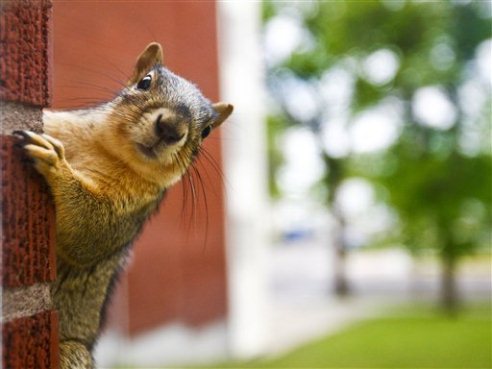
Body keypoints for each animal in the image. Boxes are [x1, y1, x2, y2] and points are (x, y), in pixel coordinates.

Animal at [13, 41, 233, 366]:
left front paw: (55, 163)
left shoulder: (131, 208)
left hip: (72, 352)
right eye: (145, 82)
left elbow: (88, 232)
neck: (108, 151)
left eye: (206, 131)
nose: (170, 128)